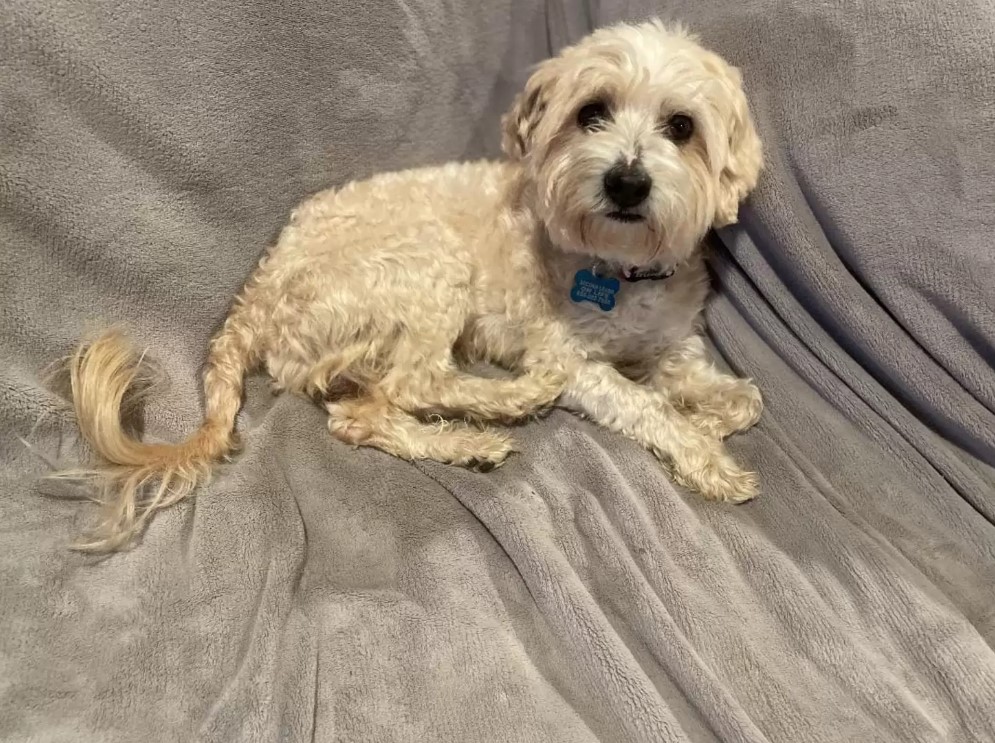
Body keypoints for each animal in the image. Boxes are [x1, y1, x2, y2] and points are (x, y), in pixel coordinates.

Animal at [62, 20, 764, 548]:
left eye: (682, 127)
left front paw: (712, 418)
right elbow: (646, 405)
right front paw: (707, 455)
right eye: (592, 113)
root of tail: (255, 295)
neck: (622, 267)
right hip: (428, 267)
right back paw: (512, 400)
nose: (627, 182)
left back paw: (465, 445)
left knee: (358, 418)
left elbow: (744, 398)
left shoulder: (675, 345)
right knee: (417, 383)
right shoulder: (572, 357)